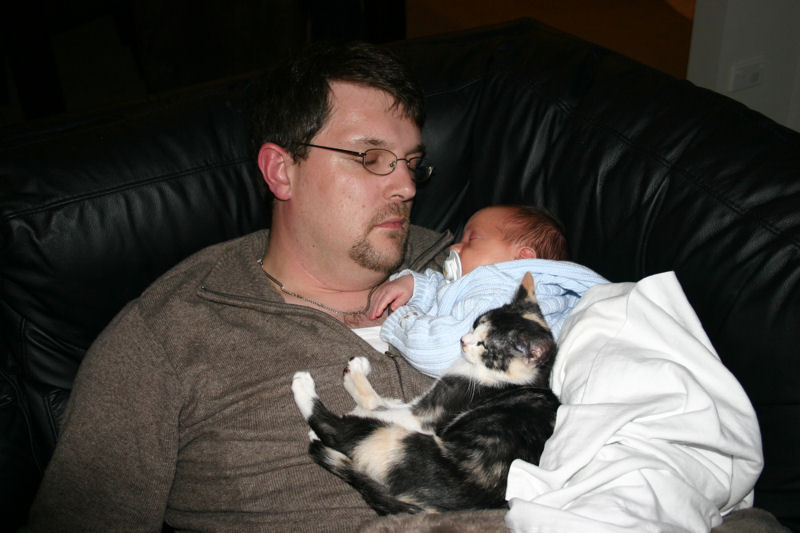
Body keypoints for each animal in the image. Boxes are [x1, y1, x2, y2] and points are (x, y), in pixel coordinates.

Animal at [291, 272, 559, 514]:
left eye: (485, 345)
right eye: (475, 323)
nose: (463, 340)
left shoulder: (430, 414)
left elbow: (381, 408)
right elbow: (383, 402)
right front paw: (357, 376)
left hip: (395, 444)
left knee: (339, 429)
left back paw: (305, 392)